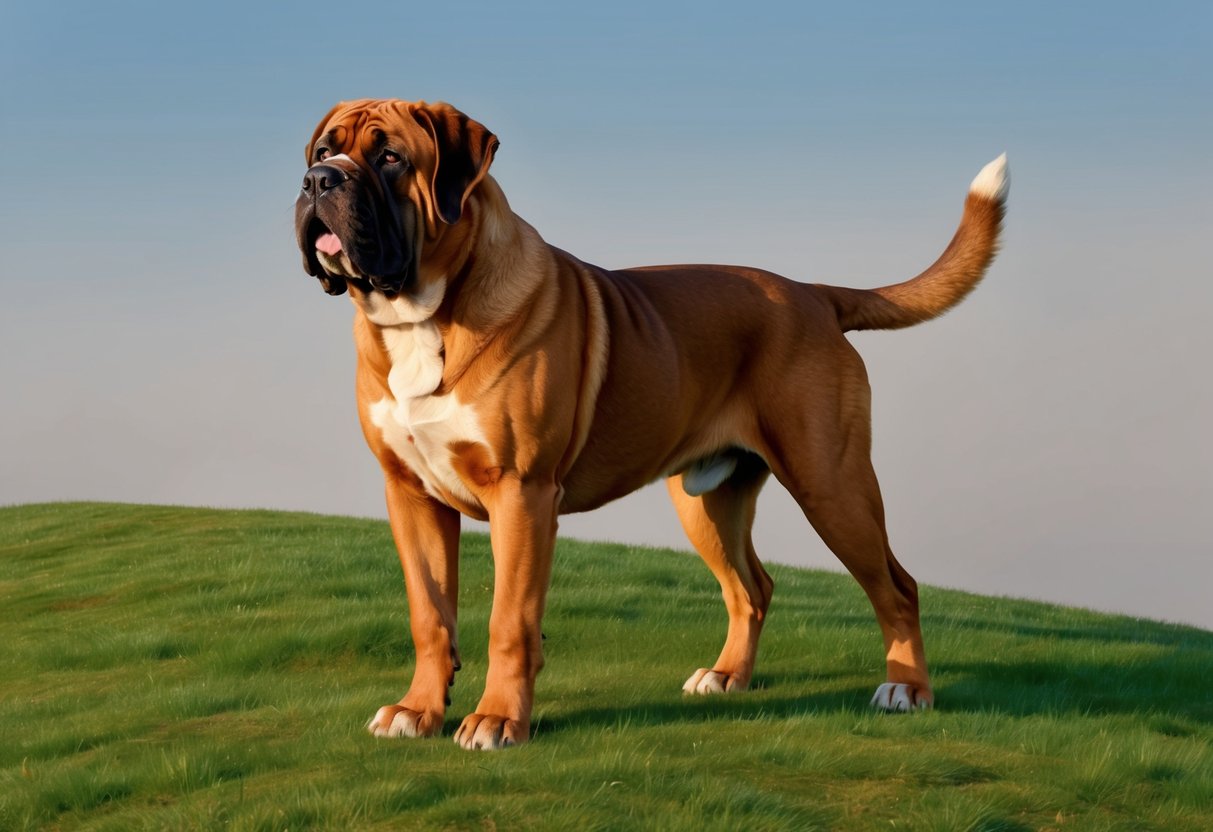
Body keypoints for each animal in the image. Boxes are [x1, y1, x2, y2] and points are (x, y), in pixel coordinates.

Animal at [291, 97, 1004, 751]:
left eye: (390, 158)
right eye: (325, 150)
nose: (319, 181)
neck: (424, 314)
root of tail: (812, 293)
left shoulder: (522, 492)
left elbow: (509, 621)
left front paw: (496, 720)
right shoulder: (411, 495)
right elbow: (429, 614)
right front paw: (417, 711)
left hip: (831, 483)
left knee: (897, 586)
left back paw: (906, 688)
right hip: (708, 503)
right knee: (753, 588)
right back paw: (726, 676)